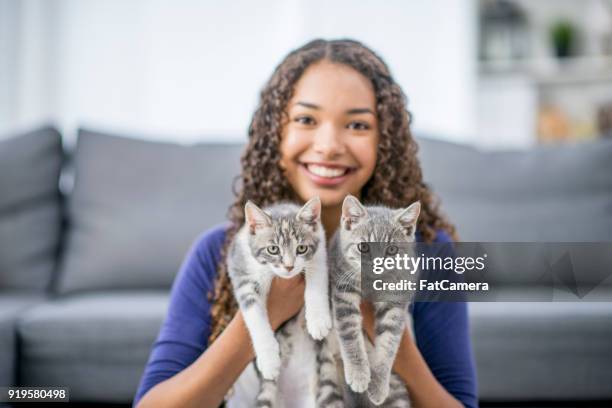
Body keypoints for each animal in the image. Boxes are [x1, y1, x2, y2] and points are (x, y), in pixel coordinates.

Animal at [226, 198, 340, 404]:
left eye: (301, 248)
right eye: (273, 249)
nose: (289, 267)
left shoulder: (319, 248)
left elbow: (316, 275)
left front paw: (318, 321)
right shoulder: (240, 267)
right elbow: (254, 315)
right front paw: (269, 359)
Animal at [330, 194, 420, 404]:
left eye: (392, 250)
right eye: (363, 247)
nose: (377, 263)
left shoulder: (396, 300)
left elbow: (389, 343)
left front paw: (378, 383)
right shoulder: (343, 291)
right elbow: (349, 332)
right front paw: (358, 373)